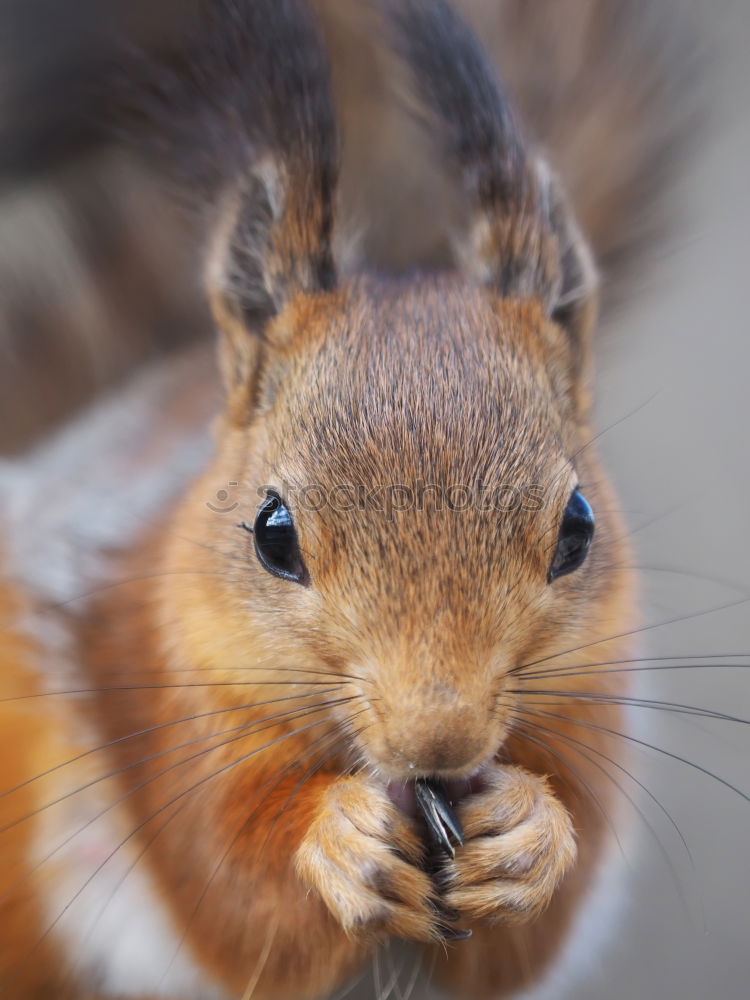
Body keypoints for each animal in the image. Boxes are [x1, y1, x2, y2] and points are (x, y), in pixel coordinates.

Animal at [0, 1, 692, 1000]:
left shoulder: (592, 698)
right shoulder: (165, 693)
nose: (438, 739)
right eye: (271, 534)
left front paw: (529, 837)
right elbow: (229, 888)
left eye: (578, 528)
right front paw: (338, 842)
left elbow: (537, 919)